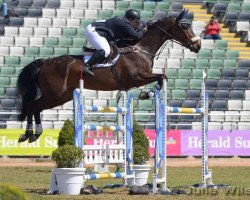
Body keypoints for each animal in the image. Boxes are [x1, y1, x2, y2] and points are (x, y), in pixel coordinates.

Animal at [17, 9, 201, 144]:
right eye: (185, 27)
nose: (198, 45)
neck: (141, 49)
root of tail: (45, 62)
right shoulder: (137, 78)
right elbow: (161, 76)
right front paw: (147, 93)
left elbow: (161, 77)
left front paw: (147, 93)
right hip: (55, 94)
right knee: (33, 106)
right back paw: (29, 134)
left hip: (63, 96)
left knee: (36, 107)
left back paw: (33, 134)